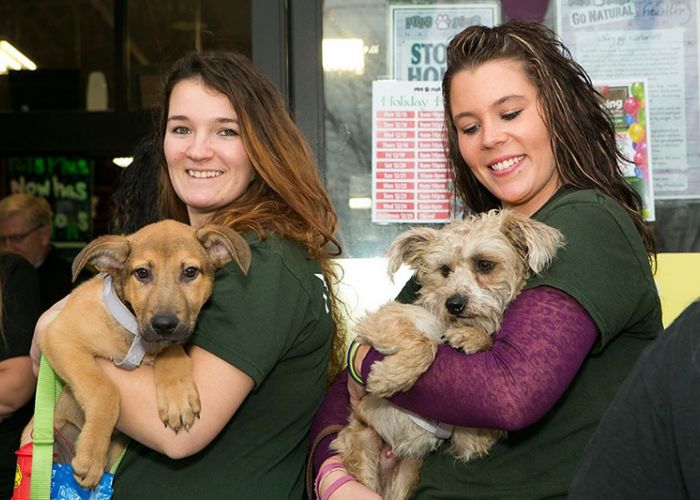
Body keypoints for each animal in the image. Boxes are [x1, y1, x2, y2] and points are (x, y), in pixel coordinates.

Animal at [23, 221, 250, 490]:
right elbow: (105, 390)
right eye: (142, 273)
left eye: (190, 272)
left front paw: (178, 397)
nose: (164, 324)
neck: (134, 336)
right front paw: (91, 454)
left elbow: (173, 351)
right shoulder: (60, 335)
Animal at [330, 208, 568, 500]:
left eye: (485, 265)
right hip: (362, 449)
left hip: (407, 475)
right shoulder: (382, 320)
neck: (447, 325)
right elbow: (424, 342)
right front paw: (389, 378)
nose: (453, 304)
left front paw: (473, 337)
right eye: (444, 270)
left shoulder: (470, 440)